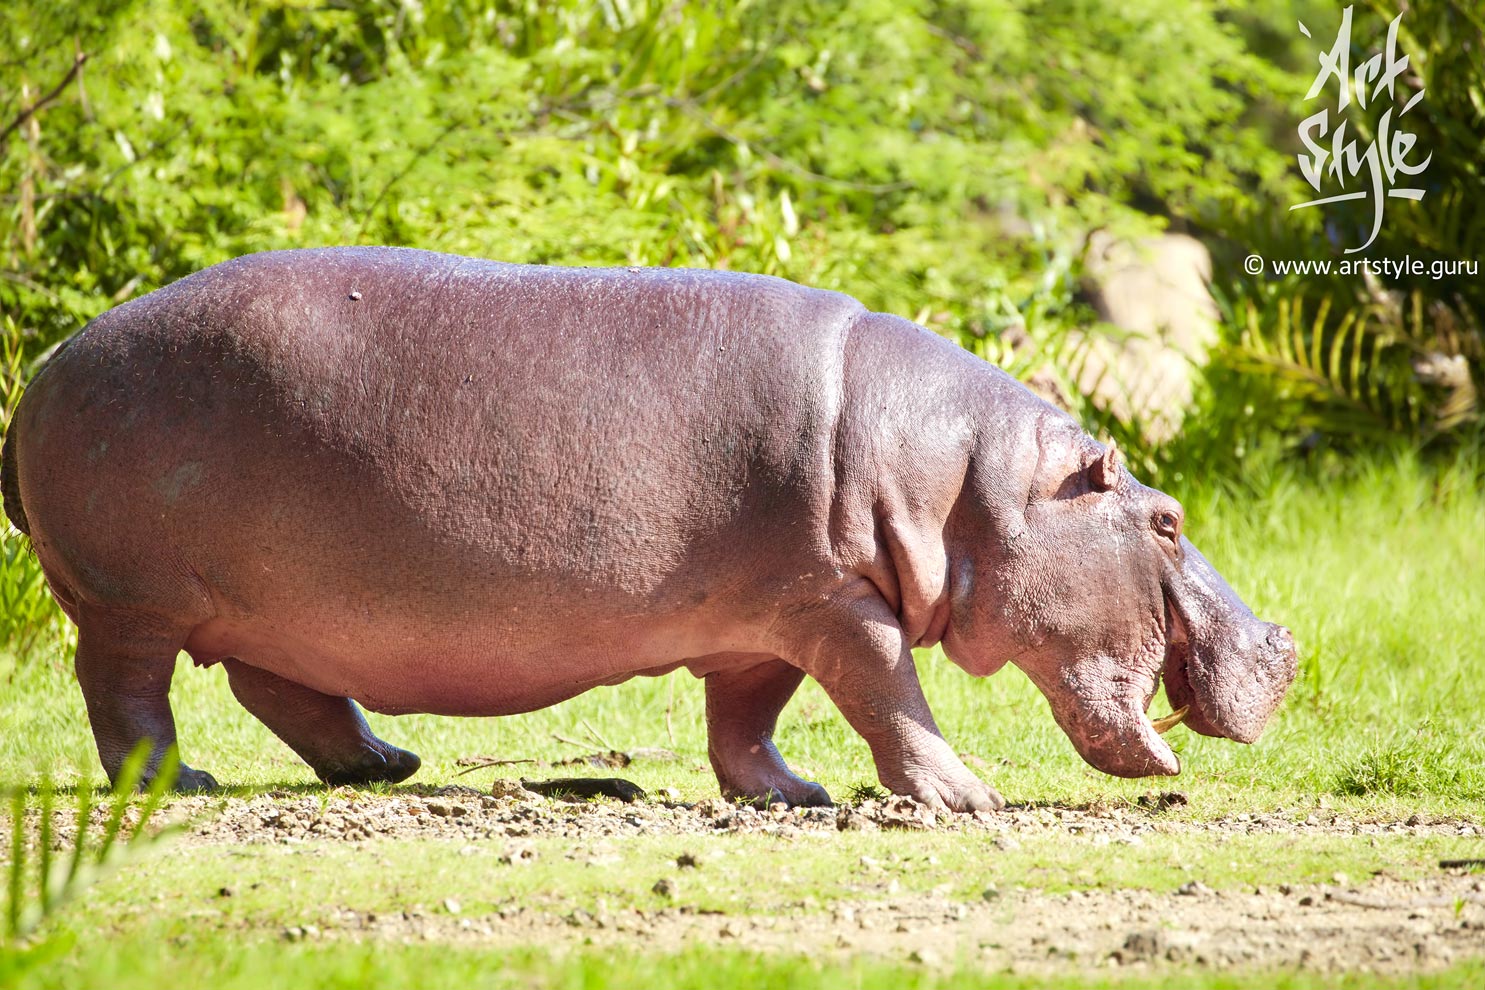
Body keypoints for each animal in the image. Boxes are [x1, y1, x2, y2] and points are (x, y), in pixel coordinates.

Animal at [1, 248, 1296, 810]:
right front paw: (963, 798)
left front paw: (790, 795)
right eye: (1167, 519)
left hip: (288, 606)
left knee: (285, 687)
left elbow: (751, 715)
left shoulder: (771, 616)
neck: (970, 488)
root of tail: (48, 367)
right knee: (126, 693)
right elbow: (893, 699)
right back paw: (183, 781)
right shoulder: (839, 603)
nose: (1286, 646)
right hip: (133, 600)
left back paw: (387, 764)